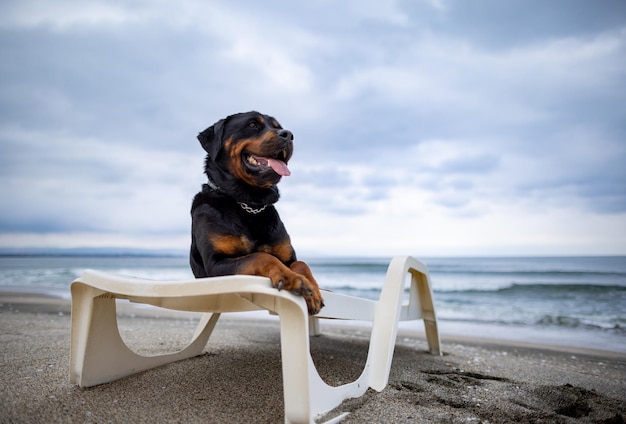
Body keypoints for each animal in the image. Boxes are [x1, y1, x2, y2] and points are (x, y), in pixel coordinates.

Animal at [188, 112, 324, 314]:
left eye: (278, 126)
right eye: (252, 124)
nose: (288, 134)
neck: (249, 203)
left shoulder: (288, 256)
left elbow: (301, 263)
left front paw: (313, 291)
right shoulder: (215, 265)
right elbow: (260, 256)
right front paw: (291, 278)